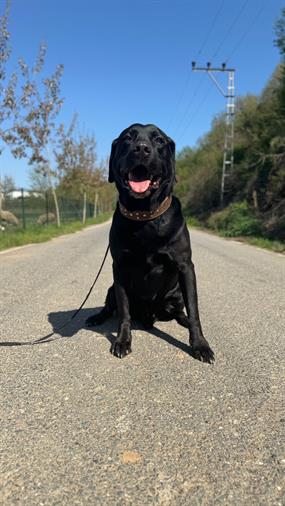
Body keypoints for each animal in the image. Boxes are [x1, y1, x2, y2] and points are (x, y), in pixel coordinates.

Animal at [86, 124, 213, 362]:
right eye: (127, 138)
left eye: (159, 140)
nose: (142, 149)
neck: (144, 216)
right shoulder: (119, 268)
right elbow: (123, 311)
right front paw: (122, 341)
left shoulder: (186, 267)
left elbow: (194, 311)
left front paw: (200, 345)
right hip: (111, 288)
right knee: (110, 307)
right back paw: (96, 317)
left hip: (176, 295)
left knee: (180, 311)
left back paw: (182, 320)